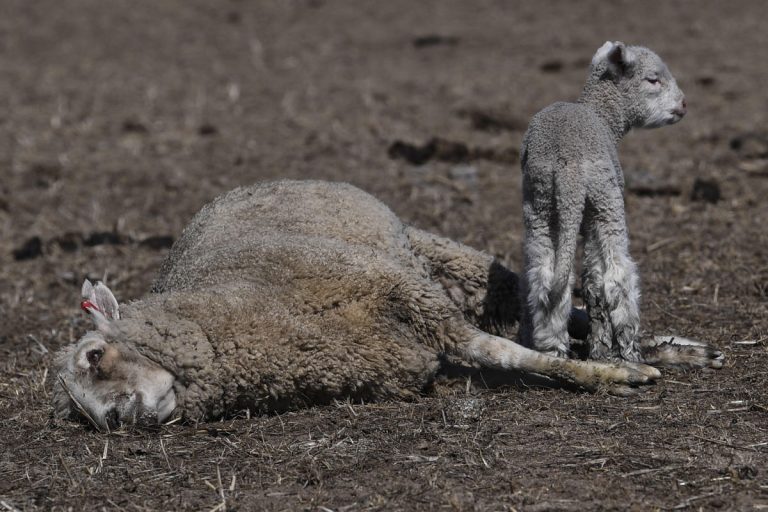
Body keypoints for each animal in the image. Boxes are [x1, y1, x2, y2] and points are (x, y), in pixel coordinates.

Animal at [520, 42, 700, 362]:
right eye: (653, 80)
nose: (683, 106)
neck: (604, 116)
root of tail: (567, 166)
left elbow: (589, 283)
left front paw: (598, 349)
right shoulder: (597, 215)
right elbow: (597, 280)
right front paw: (605, 348)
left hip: (539, 206)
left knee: (545, 277)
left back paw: (553, 348)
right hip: (606, 202)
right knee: (618, 276)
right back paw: (630, 351)